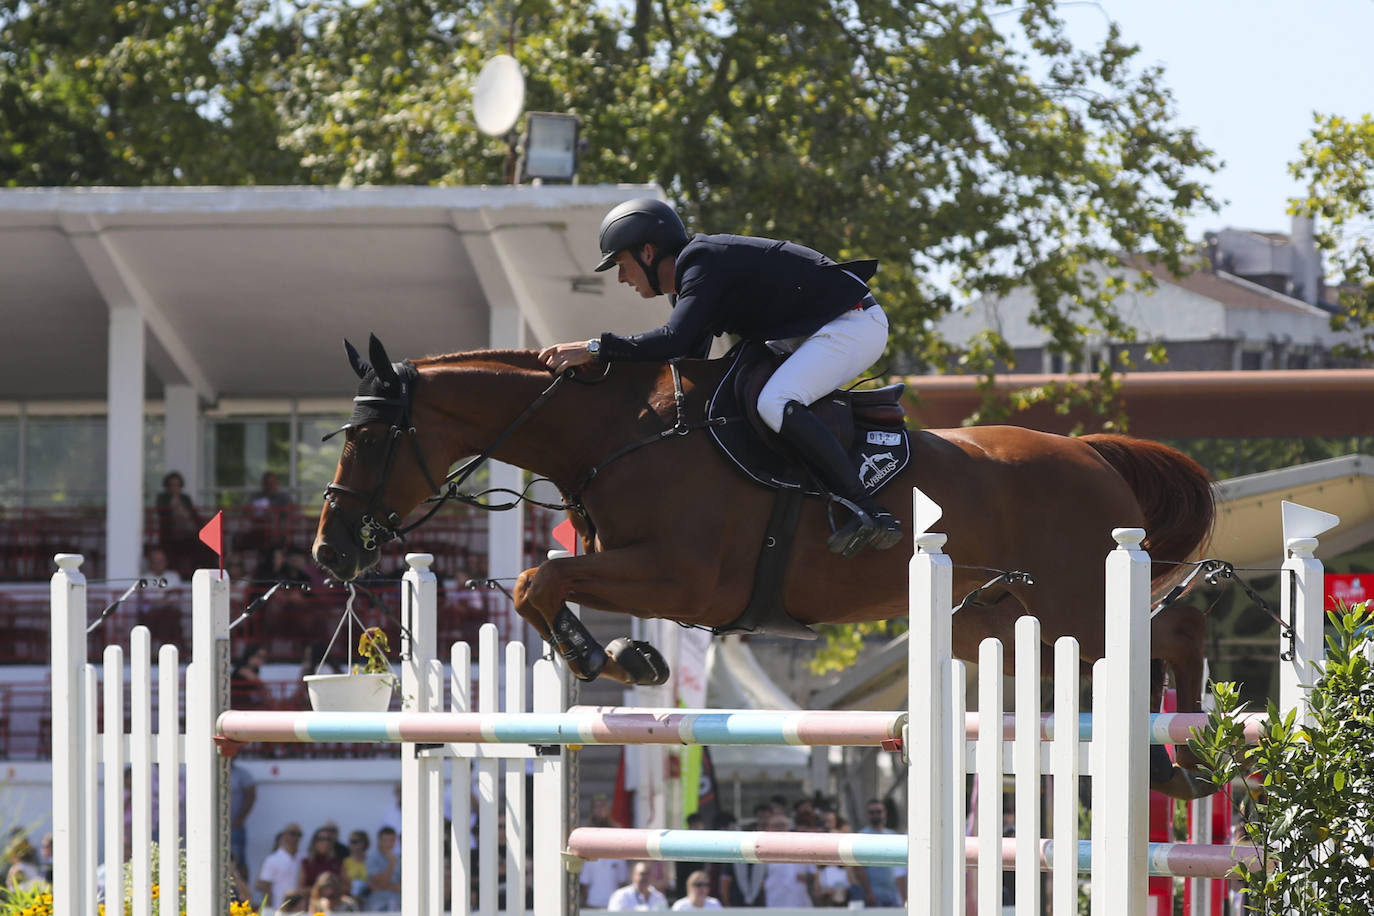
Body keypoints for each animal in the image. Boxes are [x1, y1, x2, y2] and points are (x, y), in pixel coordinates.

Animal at [311, 340, 1214, 791]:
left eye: (366, 437)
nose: (328, 548)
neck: (617, 432)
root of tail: (1092, 454)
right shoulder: (639, 569)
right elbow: (547, 582)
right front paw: (627, 655)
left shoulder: (684, 578)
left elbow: (541, 580)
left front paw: (601, 655)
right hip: (1004, 619)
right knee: (1152, 641)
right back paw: (1179, 766)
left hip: (1077, 606)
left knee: (1173, 634)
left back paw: (1186, 760)